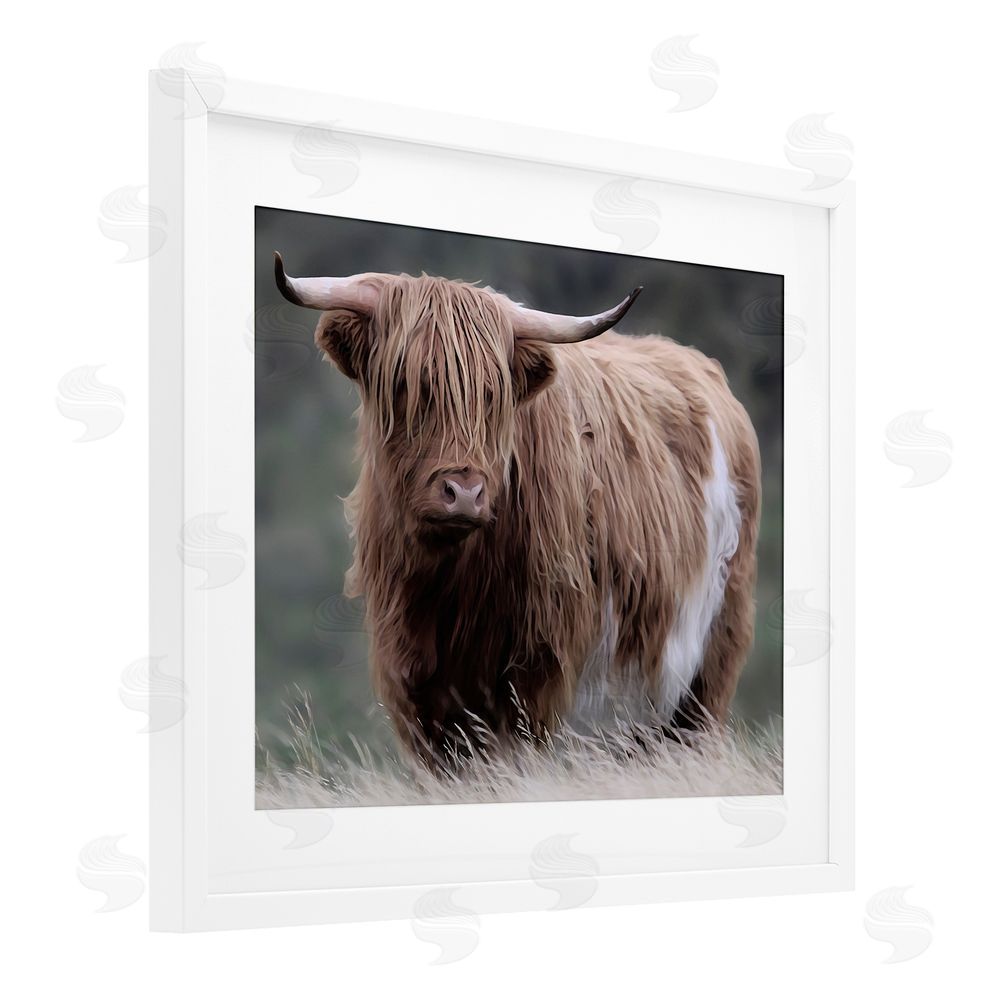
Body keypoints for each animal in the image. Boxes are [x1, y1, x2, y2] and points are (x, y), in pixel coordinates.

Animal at [274, 252, 761, 769]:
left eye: (493, 394)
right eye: (405, 383)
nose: (464, 492)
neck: (449, 588)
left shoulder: (537, 677)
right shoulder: (413, 684)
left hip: (708, 664)